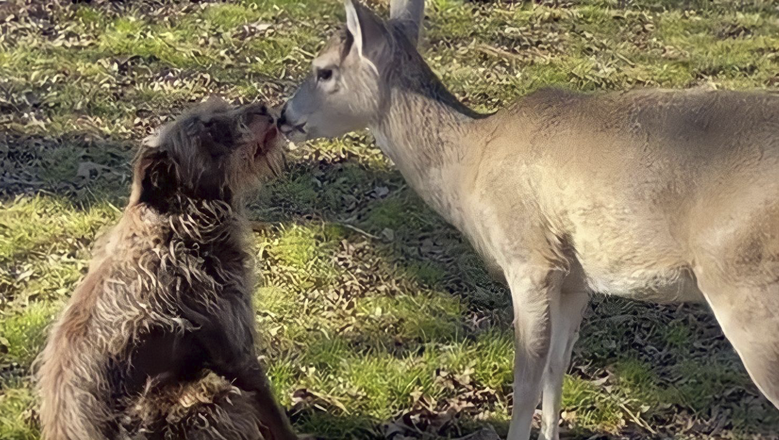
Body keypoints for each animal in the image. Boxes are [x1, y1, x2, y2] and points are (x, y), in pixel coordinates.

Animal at [36, 97, 300, 440]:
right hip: (208, 389)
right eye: (209, 127)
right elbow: (273, 415)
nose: (264, 108)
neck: (180, 224)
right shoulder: (236, 351)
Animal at [278, 1, 779, 438]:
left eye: (324, 70)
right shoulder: (577, 279)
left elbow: (524, 384)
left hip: (747, 289)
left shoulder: (530, 261)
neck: (472, 161)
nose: (282, 116)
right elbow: (557, 374)